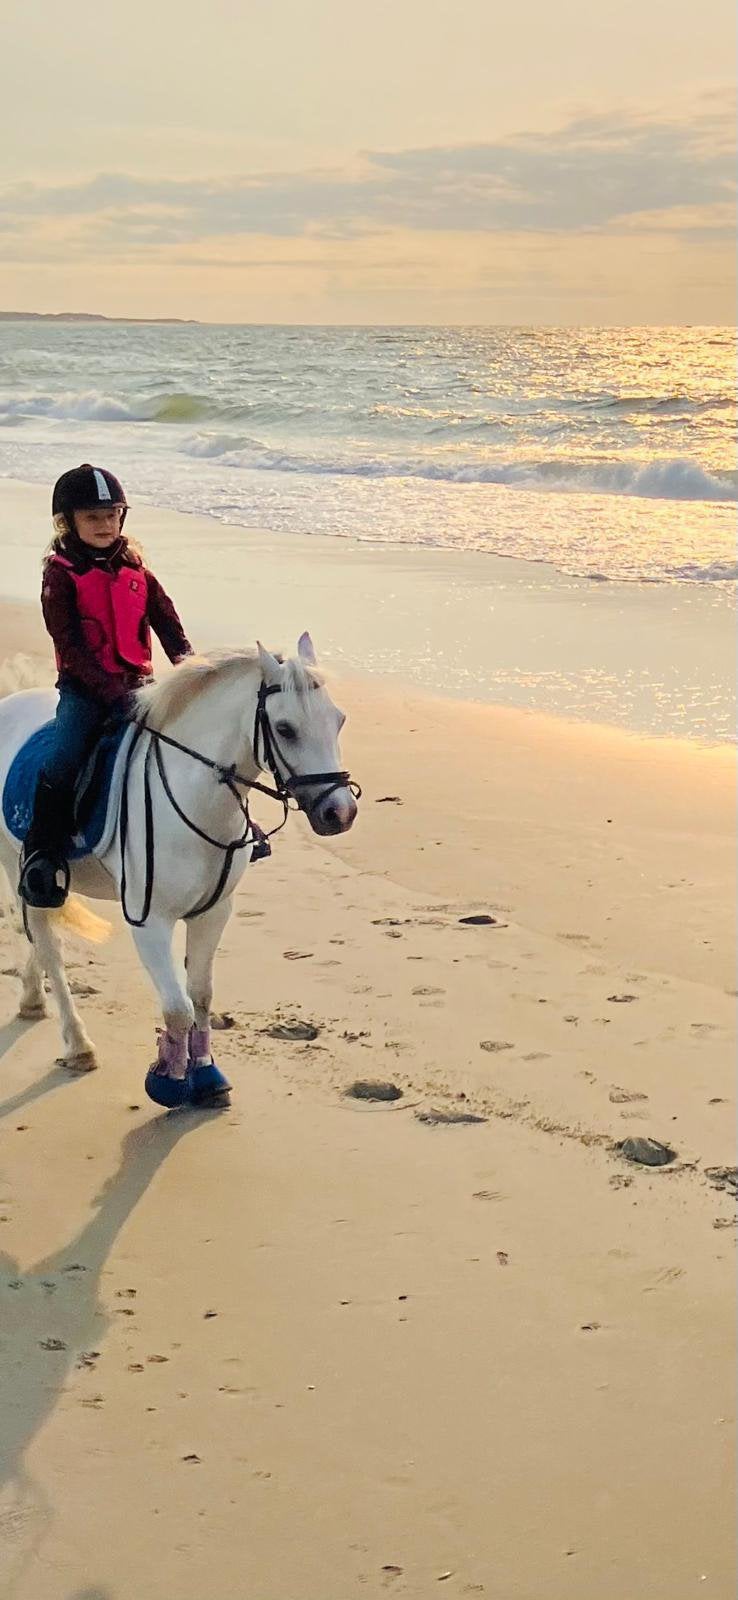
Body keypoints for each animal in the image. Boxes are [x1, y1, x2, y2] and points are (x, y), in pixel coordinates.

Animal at [0, 634, 359, 1107]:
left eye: (338, 720)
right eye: (285, 729)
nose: (340, 812)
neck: (196, 798)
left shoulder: (213, 913)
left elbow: (201, 996)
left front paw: (206, 1075)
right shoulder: (149, 922)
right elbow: (176, 1007)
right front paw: (169, 1080)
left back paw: (31, 998)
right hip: (16, 863)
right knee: (48, 946)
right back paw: (77, 1044)